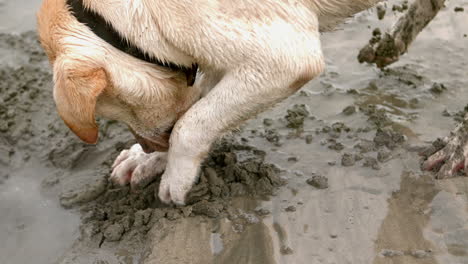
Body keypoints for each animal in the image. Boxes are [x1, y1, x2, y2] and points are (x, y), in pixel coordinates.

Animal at [36, 0, 382, 204]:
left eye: (113, 107)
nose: (147, 149)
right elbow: (196, 114)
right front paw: (146, 162)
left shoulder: (282, 60)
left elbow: (189, 125)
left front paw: (174, 180)